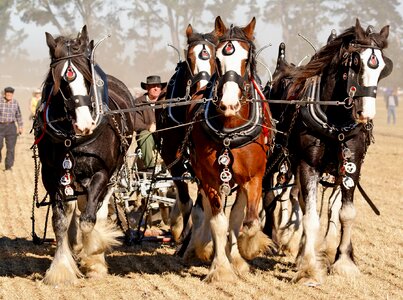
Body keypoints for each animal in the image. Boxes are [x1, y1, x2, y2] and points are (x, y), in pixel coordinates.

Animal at [33, 25, 137, 284]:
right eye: (60, 82)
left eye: (88, 78)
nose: (85, 125)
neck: (74, 138)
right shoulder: (52, 176)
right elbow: (60, 221)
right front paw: (61, 269)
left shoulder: (101, 173)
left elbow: (89, 220)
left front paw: (94, 256)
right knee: (76, 207)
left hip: (113, 174)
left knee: (97, 210)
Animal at [186, 17, 274, 282]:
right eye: (217, 59)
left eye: (247, 59)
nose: (229, 104)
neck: (230, 128)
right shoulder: (210, 178)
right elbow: (218, 222)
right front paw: (220, 268)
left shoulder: (254, 177)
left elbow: (248, 221)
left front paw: (247, 248)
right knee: (208, 211)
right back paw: (206, 247)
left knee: (237, 215)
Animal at [264, 19, 392, 284]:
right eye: (355, 63)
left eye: (382, 67)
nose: (366, 113)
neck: (337, 120)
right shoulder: (308, 164)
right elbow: (311, 217)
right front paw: (309, 269)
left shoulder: (351, 165)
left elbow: (345, 213)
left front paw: (343, 262)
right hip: (276, 155)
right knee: (268, 195)